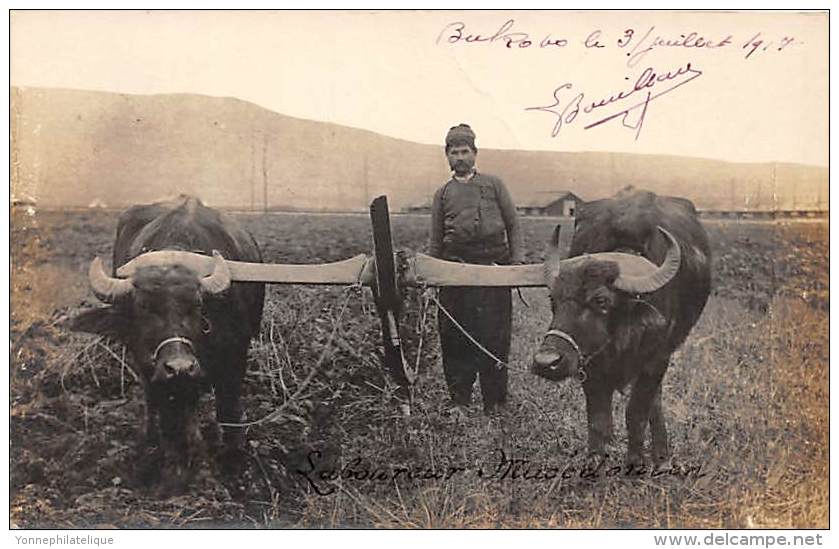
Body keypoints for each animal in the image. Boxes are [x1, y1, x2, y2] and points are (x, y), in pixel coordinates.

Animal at [72, 196, 264, 488]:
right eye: (143, 308)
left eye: (197, 305)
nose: (180, 366)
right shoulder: (152, 366)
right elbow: (167, 412)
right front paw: (174, 470)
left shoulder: (235, 357)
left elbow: (228, 408)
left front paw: (234, 462)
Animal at [532, 191, 708, 464]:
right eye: (553, 300)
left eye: (601, 300)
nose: (545, 362)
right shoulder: (590, 364)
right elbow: (598, 421)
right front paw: (595, 463)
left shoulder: (655, 361)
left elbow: (635, 415)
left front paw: (635, 462)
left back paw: (660, 452)